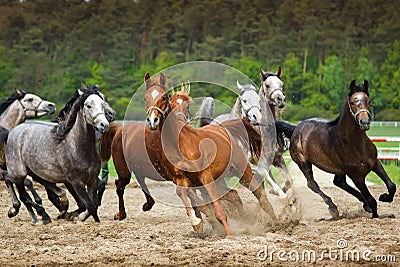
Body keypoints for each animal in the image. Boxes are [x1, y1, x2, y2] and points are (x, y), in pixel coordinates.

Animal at [4, 88, 112, 224]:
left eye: (103, 103)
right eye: (88, 105)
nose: (104, 124)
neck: (77, 147)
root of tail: (13, 132)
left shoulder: (91, 180)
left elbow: (92, 205)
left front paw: (76, 215)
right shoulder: (76, 182)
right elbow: (90, 206)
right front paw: (77, 216)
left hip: (36, 173)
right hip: (18, 173)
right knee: (22, 192)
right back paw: (38, 215)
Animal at [145, 73, 278, 237]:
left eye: (164, 98)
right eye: (145, 98)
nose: (152, 120)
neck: (181, 143)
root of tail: (223, 129)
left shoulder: (205, 176)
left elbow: (218, 210)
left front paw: (229, 234)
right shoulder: (181, 179)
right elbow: (182, 193)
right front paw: (197, 223)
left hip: (242, 170)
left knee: (259, 194)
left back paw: (278, 222)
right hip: (220, 179)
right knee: (234, 195)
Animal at [276, 79, 396, 220]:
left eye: (368, 100)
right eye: (353, 102)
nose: (364, 122)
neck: (355, 144)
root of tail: (296, 128)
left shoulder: (375, 163)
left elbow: (391, 186)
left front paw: (385, 197)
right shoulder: (356, 176)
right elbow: (372, 200)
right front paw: (375, 213)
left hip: (339, 169)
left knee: (339, 182)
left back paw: (361, 204)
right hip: (303, 163)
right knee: (312, 184)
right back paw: (333, 207)